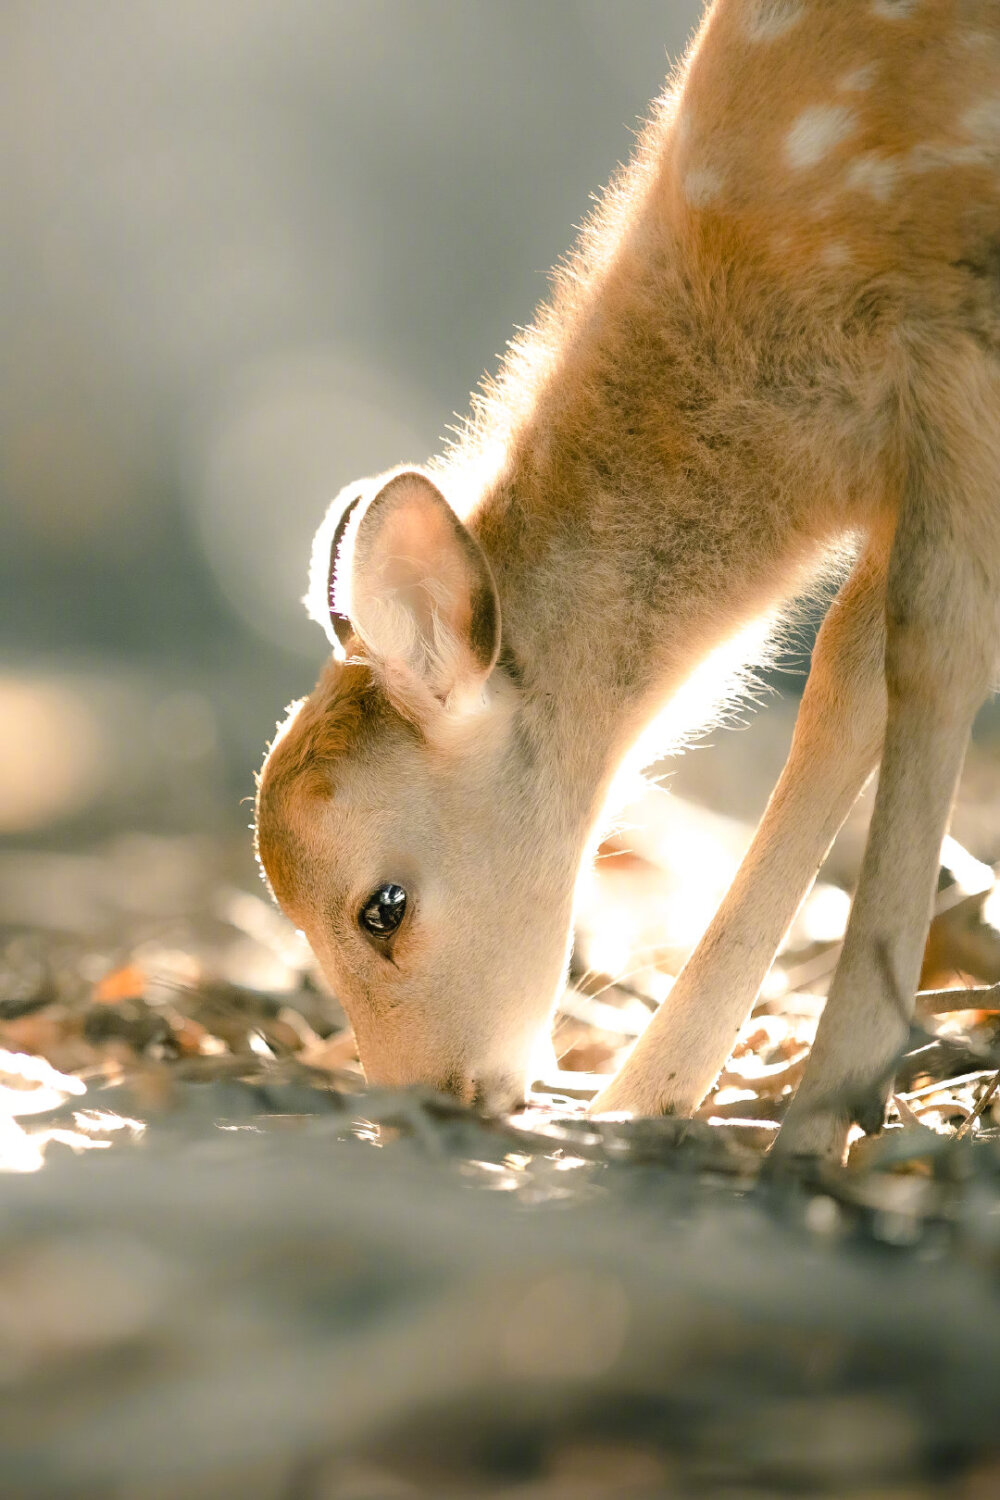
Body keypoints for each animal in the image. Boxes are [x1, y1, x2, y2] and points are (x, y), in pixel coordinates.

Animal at [251, 0, 1000, 1158]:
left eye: (383, 907)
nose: (424, 1109)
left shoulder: (957, 354)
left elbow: (938, 646)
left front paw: (818, 1117)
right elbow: (848, 676)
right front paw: (646, 1097)